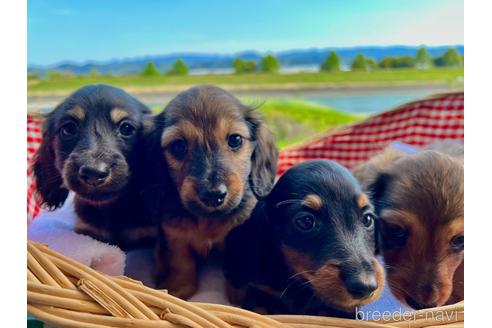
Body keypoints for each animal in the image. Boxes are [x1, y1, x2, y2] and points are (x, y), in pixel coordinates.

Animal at [144, 85, 278, 300]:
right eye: (178, 146)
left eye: (235, 139)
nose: (214, 195)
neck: (208, 220)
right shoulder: (175, 235)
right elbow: (180, 261)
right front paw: (176, 288)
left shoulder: (241, 232)